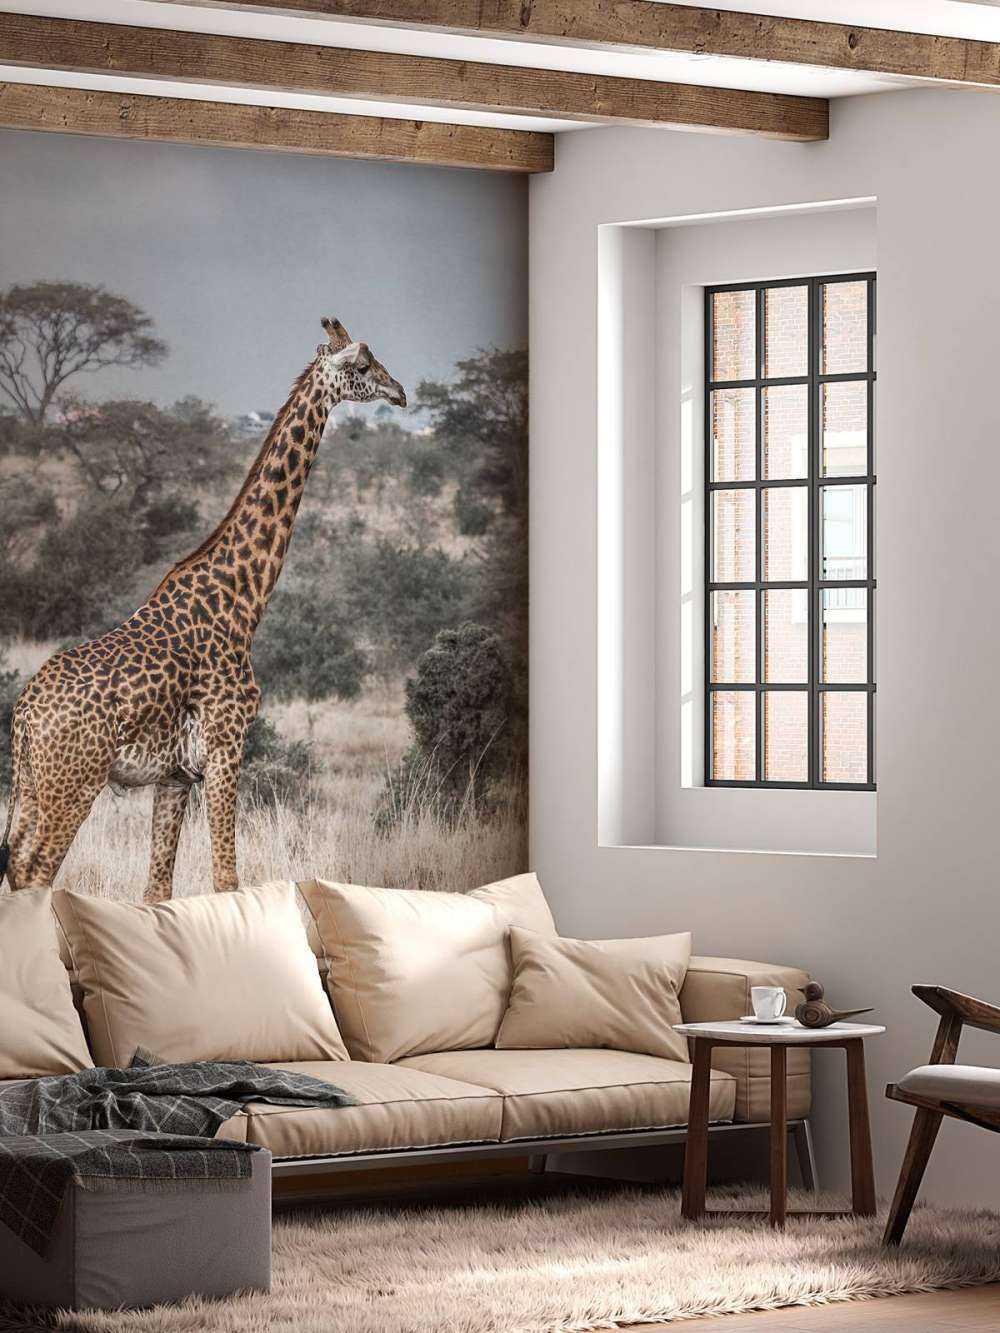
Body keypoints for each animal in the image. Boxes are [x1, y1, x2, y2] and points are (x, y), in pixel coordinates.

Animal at [0, 317, 406, 901]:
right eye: (363, 365)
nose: (401, 393)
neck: (242, 600)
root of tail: (24, 716)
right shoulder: (226, 744)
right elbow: (226, 878)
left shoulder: (175, 775)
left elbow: (157, 891)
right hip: (72, 782)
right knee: (34, 872)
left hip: (33, 783)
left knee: (16, 864)